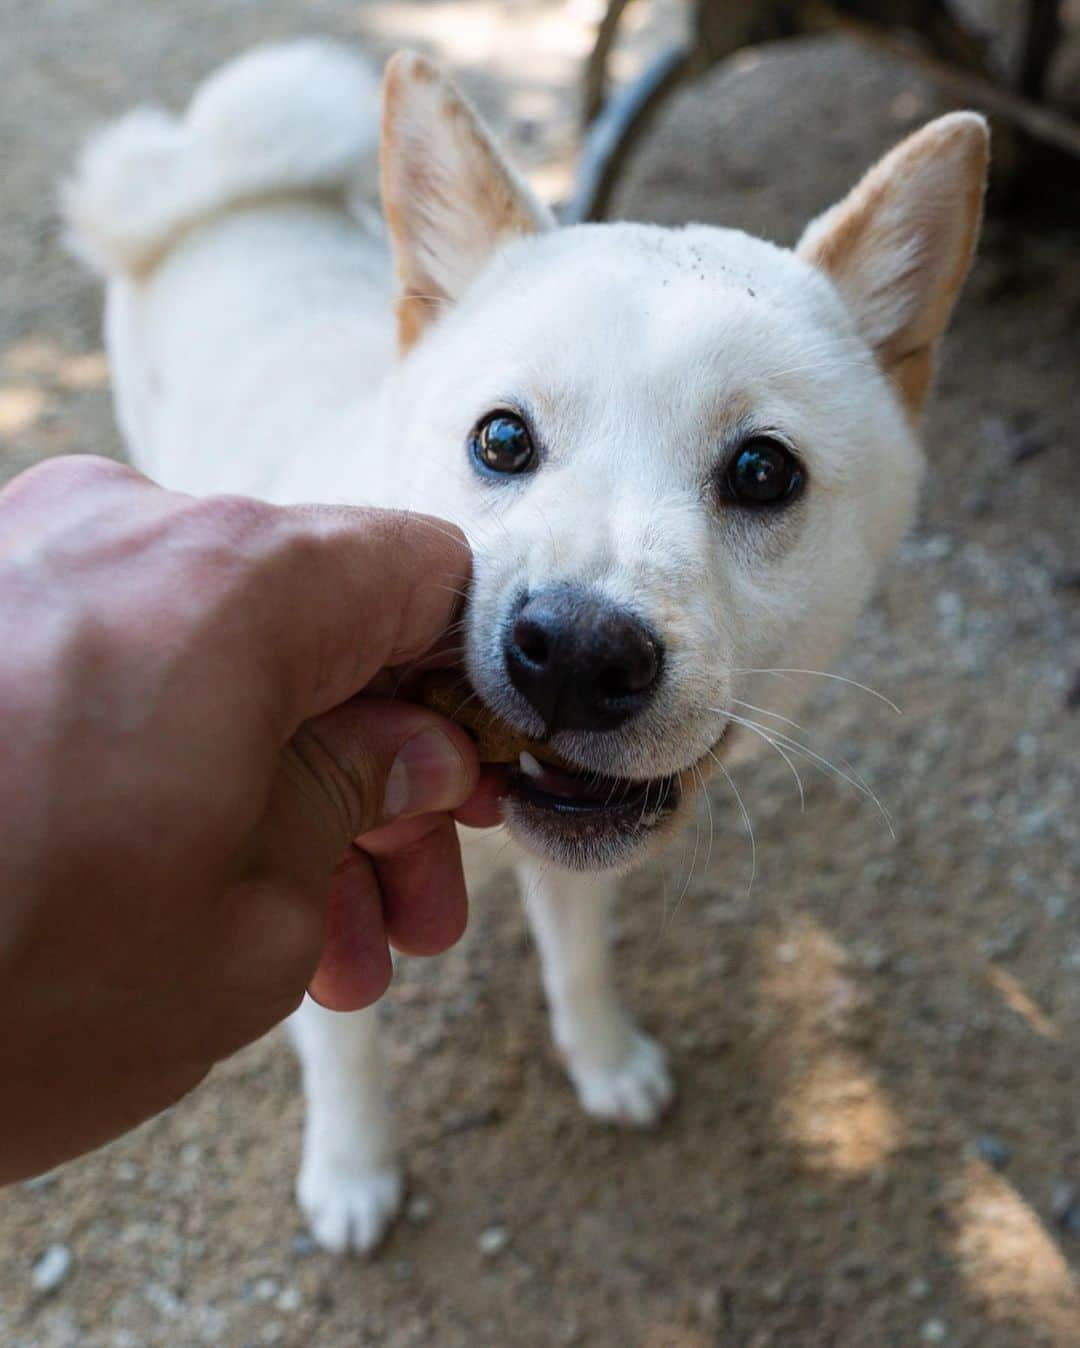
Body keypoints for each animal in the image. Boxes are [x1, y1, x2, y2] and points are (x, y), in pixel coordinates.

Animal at [65, 39, 986, 1250]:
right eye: (501, 439)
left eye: (763, 470)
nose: (581, 654)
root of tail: (222, 185)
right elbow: (346, 1049)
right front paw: (352, 1172)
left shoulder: (579, 861)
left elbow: (579, 960)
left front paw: (604, 1060)